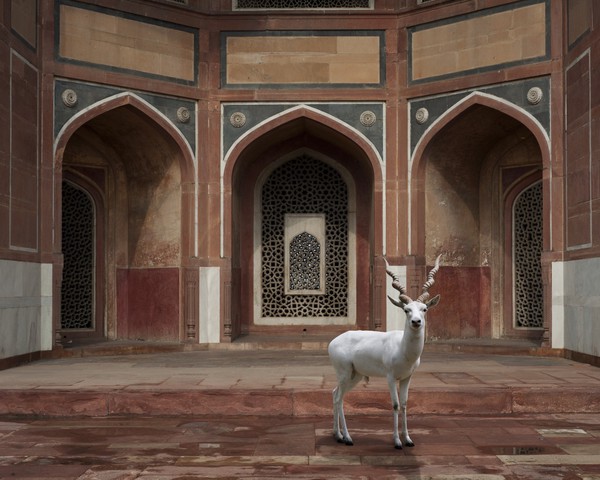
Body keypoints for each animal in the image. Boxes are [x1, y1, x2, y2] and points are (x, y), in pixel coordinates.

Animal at [328, 256, 440, 448]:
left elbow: (404, 404)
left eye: (424, 309)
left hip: (355, 375)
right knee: (338, 399)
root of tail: (333, 341)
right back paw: (347, 438)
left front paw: (408, 439)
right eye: (406, 310)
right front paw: (397, 441)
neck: (403, 349)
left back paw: (338, 435)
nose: (416, 322)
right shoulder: (390, 376)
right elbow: (395, 405)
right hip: (344, 373)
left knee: (336, 394)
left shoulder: (407, 377)